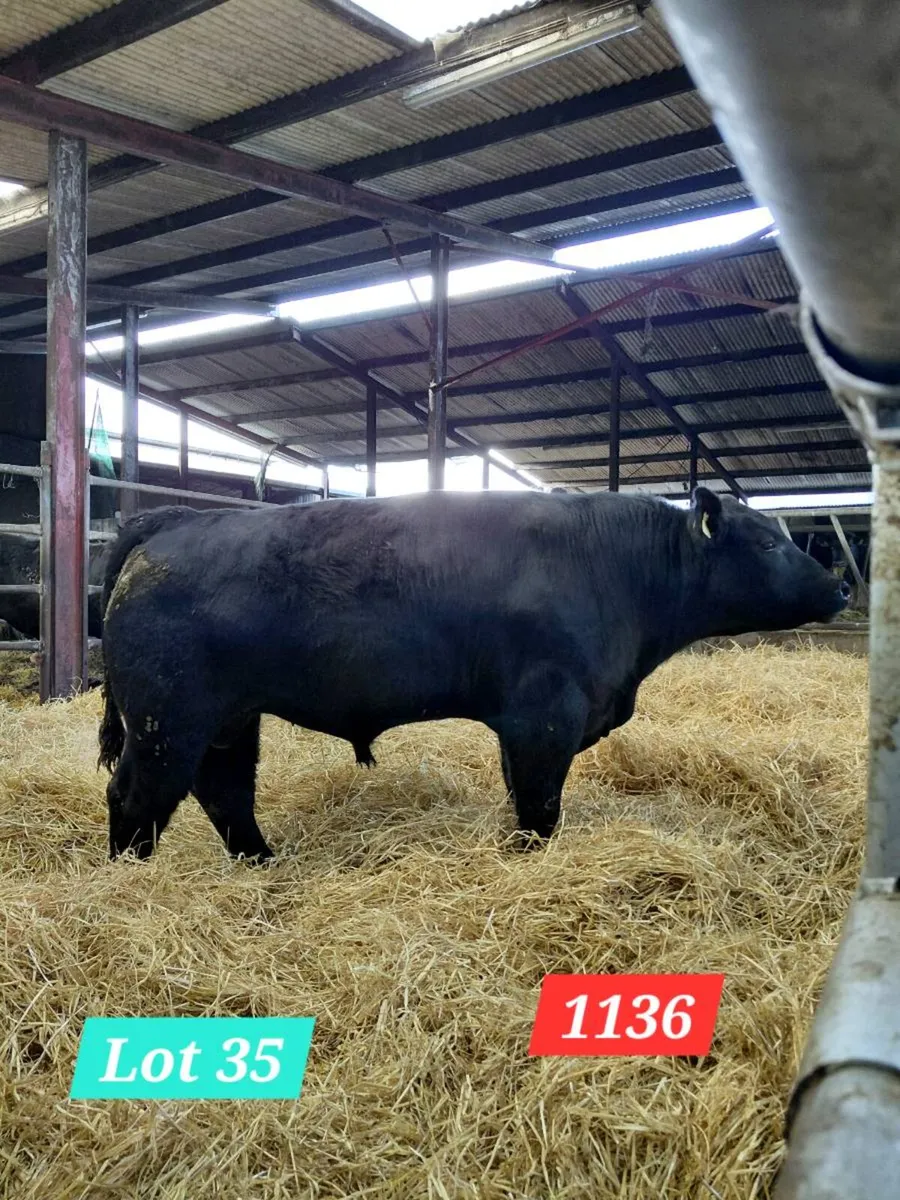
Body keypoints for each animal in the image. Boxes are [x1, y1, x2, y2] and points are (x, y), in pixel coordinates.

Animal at [97, 487, 849, 864]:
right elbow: (539, 809)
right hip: (167, 720)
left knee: (225, 794)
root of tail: (176, 521)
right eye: (767, 541)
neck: (615, 566)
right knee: (136, 799)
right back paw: (132, 881)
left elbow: (523, 799)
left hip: (226, 721)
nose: (840, 587)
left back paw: (263, 864)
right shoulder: (546, 715)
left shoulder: (525, 725)